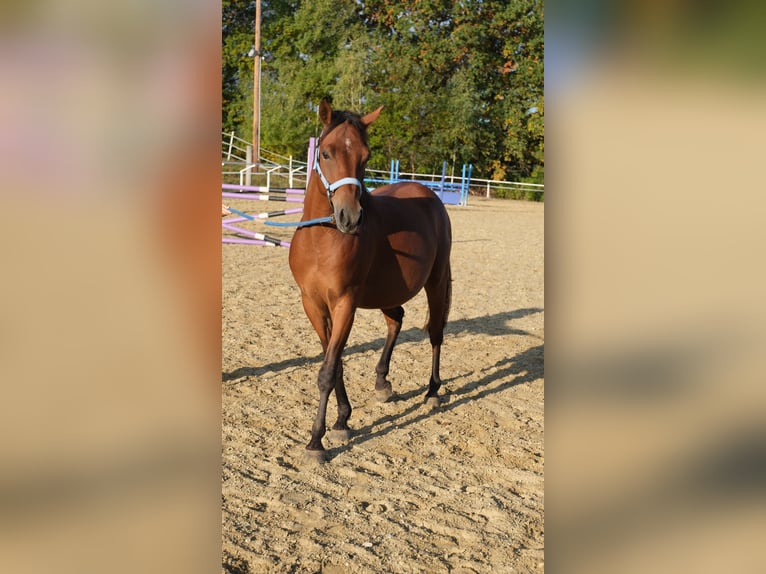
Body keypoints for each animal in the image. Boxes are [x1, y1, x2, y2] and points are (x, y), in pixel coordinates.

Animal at [288, 99, 452, 462]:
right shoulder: (312, 304)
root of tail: (429, 194)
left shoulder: (345, 304)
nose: (350, 217)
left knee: (435, 333)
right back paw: (382, 383)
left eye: (365, 156)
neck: (322, 239)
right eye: (326, 153)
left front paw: (316, 440)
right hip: (388, 291)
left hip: (435, 282)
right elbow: (333, 363)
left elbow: (328, 370)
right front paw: (342, 421)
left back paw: (433, 391)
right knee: (396, 321)